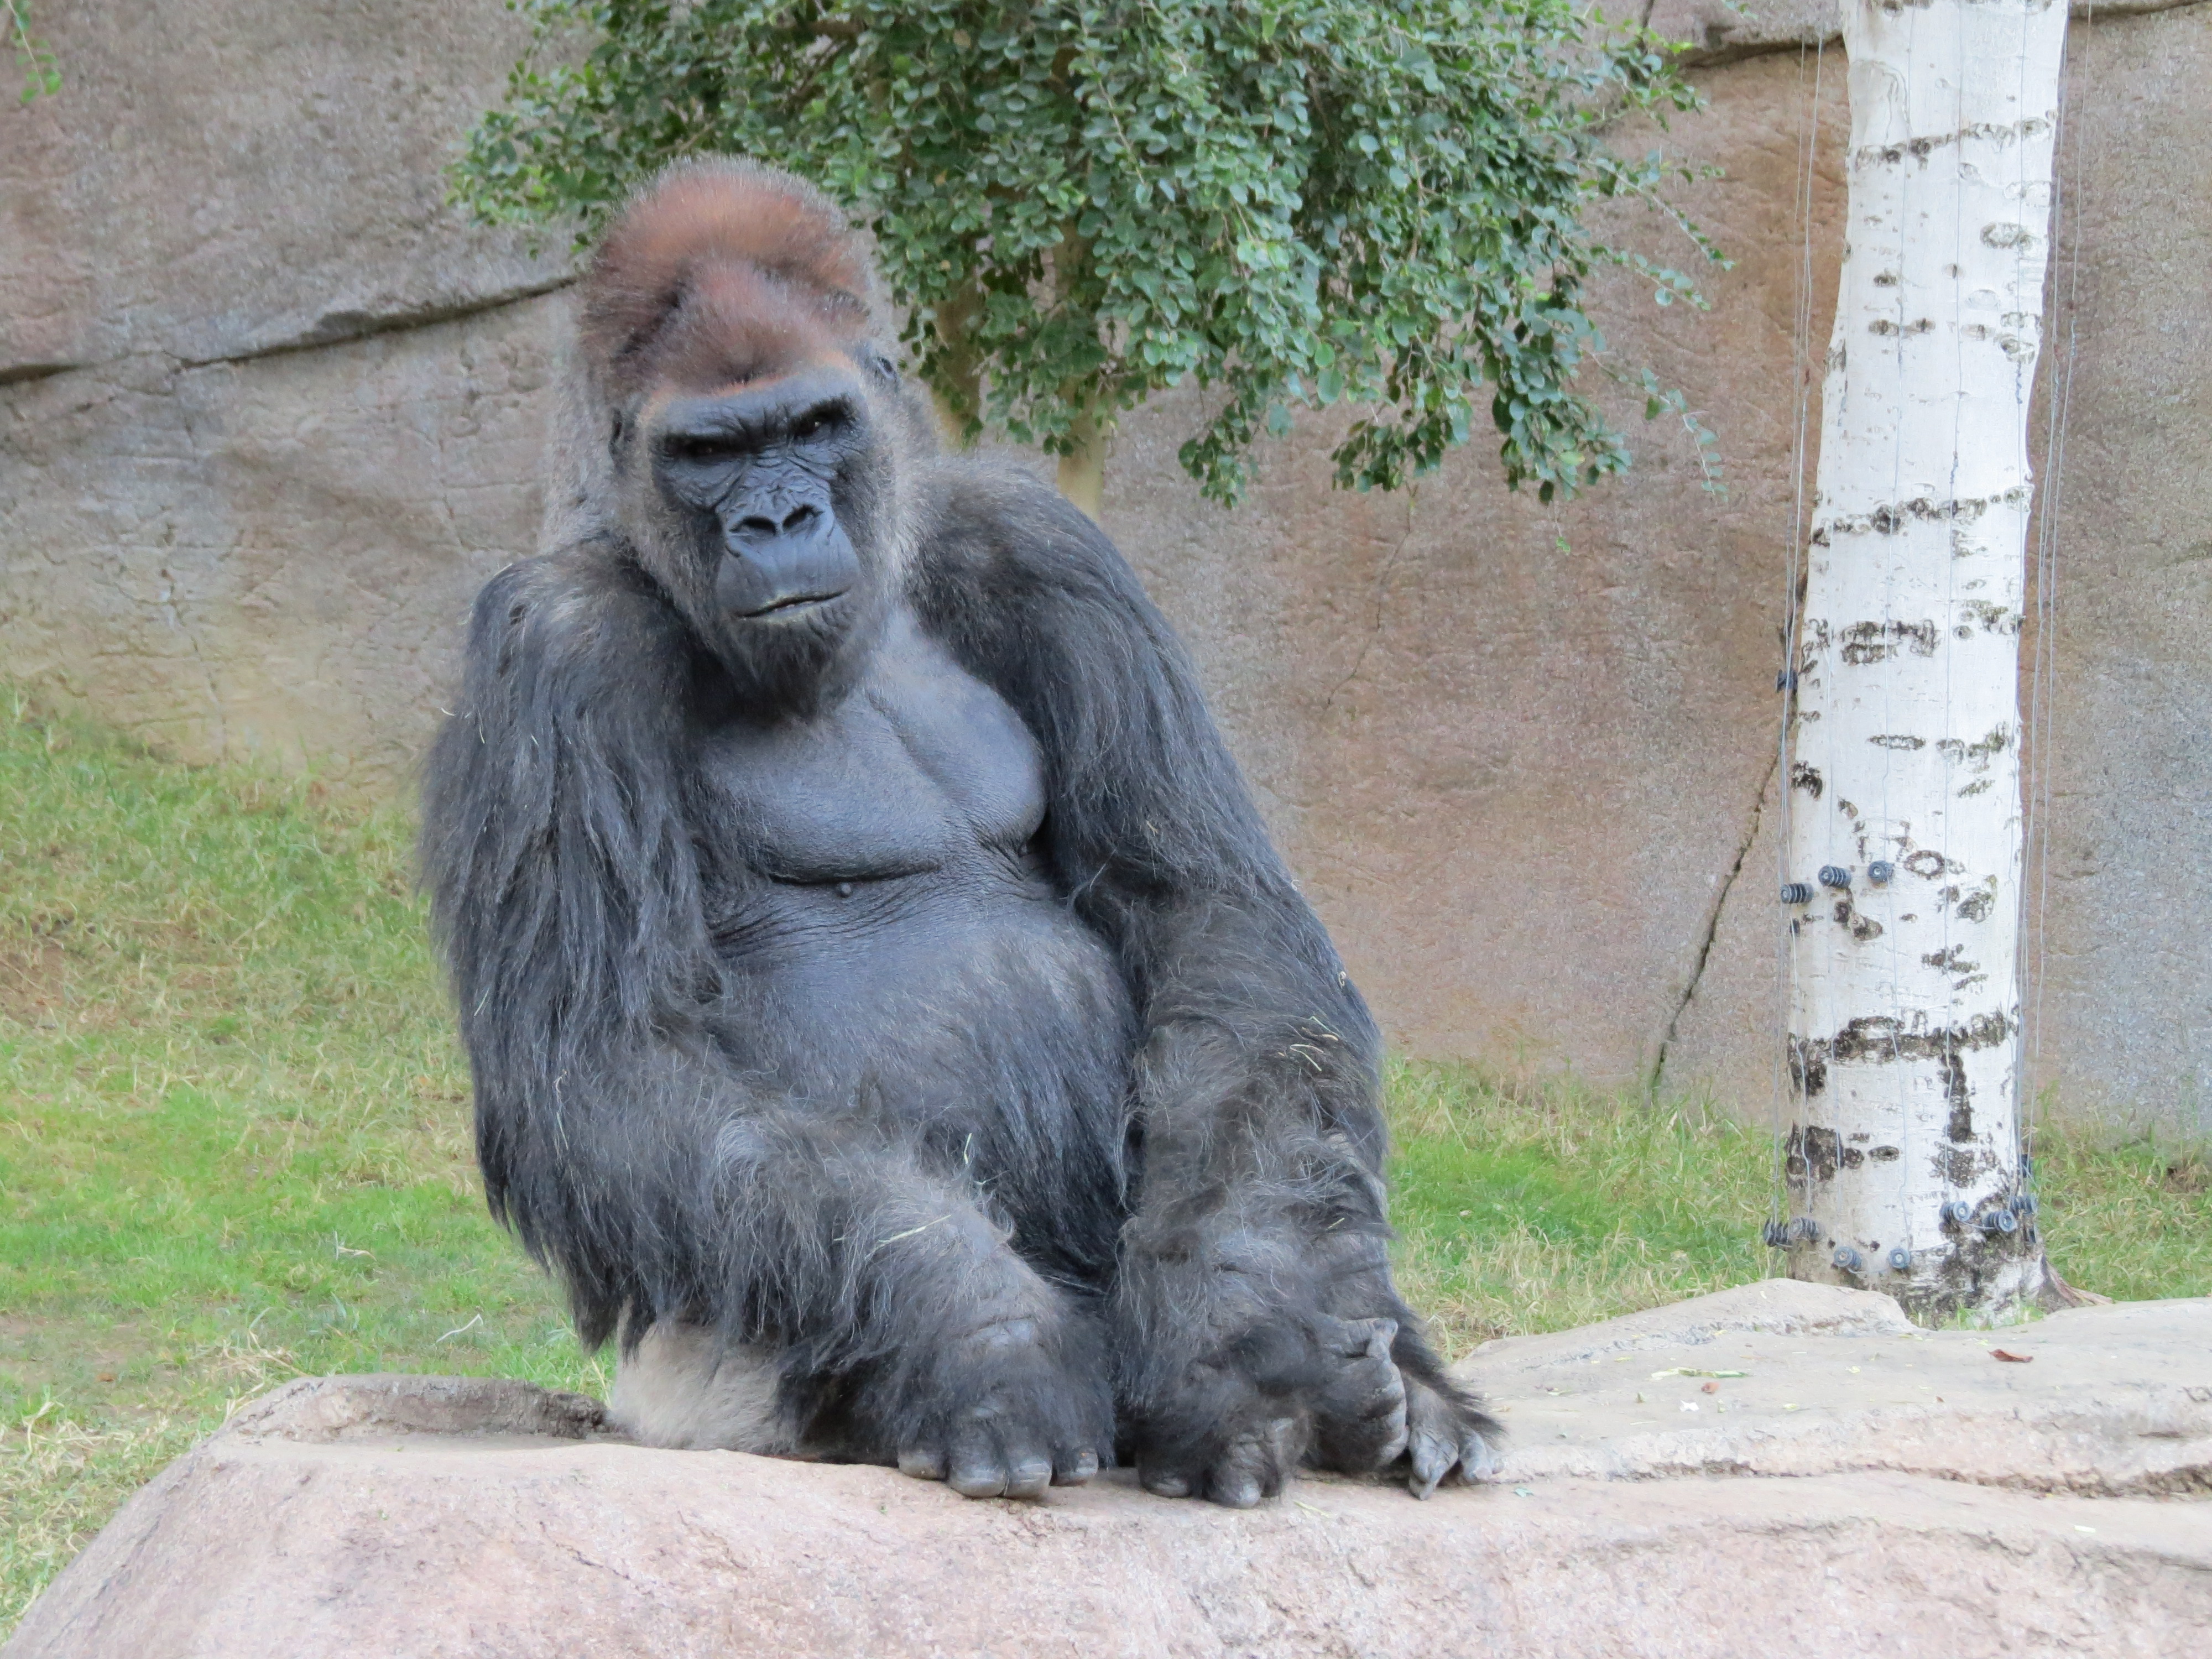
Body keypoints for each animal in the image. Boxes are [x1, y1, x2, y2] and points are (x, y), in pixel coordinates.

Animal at [422, 159, 1495, 1504]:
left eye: (811, 427)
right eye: (708, 452)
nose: (775, 522)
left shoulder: (1041, 541)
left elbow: (1204, 910)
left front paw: (1240, 1322)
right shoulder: (551, 652)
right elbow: (608, 1057)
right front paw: (986, 1338)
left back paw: (1391, 1386)